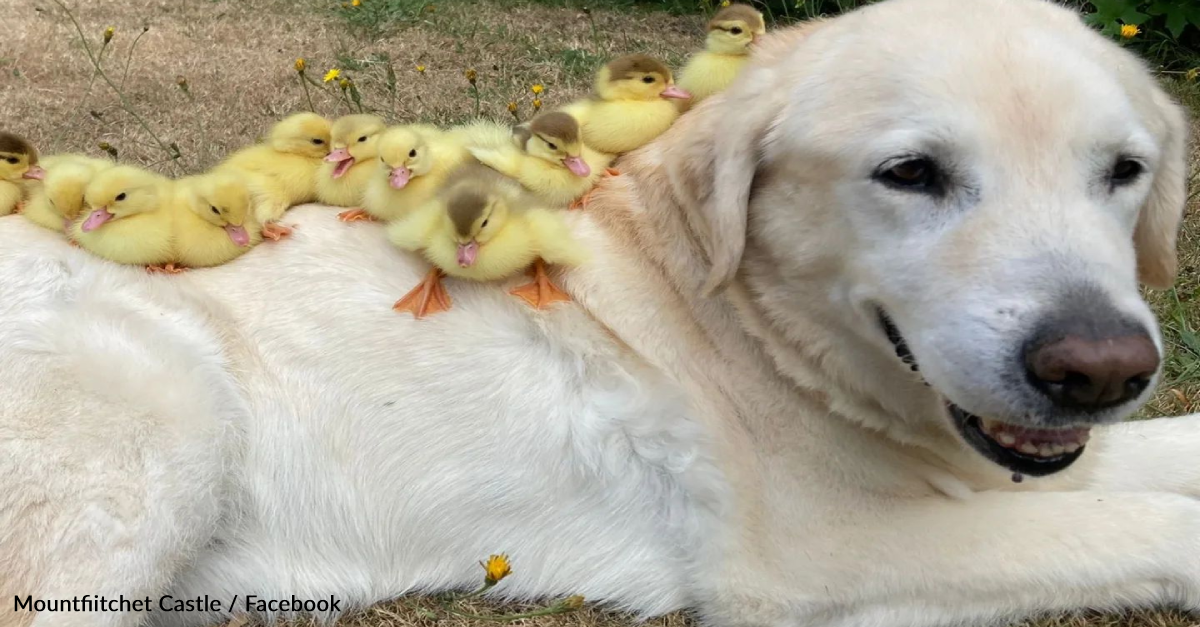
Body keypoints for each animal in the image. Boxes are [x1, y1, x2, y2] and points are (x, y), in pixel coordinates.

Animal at [0, 0, 1195, 619]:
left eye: (1124, 170)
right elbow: (1156, 522)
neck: (749, 322)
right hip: (166, 409)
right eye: (911, 173)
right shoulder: (810, 562)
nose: (1100, 371)